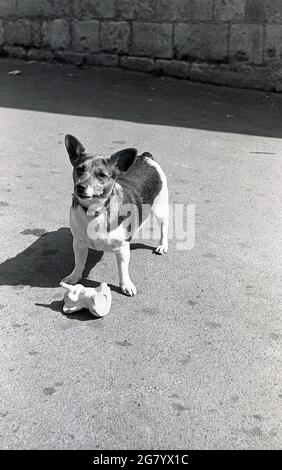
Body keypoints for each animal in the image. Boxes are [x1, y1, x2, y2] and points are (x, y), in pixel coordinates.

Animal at [62, 134, 169, 296]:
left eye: (101, 175)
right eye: (80, 170)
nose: (80, 187)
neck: (95, 211)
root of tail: (146, 157)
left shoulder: (122, 249)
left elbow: (122, 270)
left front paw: (126, 285)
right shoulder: (79, 244)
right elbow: (79, 263)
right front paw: (74, 276)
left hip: (160, 209)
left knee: (164, 227)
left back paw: (162, 245)